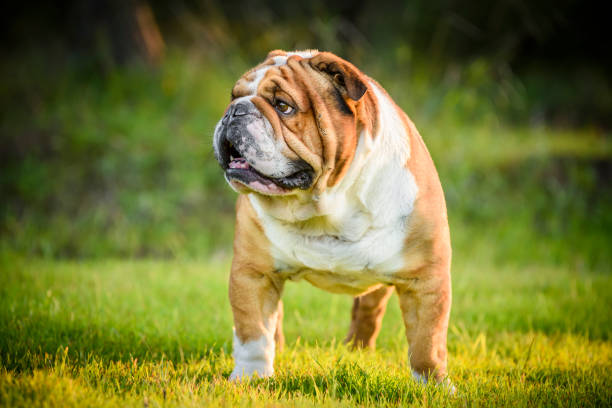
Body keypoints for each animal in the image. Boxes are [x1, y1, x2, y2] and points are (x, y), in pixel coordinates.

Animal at [213, 49, 452, 384]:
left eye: (283, 106)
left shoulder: (425, 279)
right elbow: (253, 332)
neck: (328, 204)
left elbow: (426, 342)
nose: (234, 111)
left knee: (369, 310)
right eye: (234, 96)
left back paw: (359, 349)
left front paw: (433, 385)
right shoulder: (253, 272)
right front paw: (251, 378)